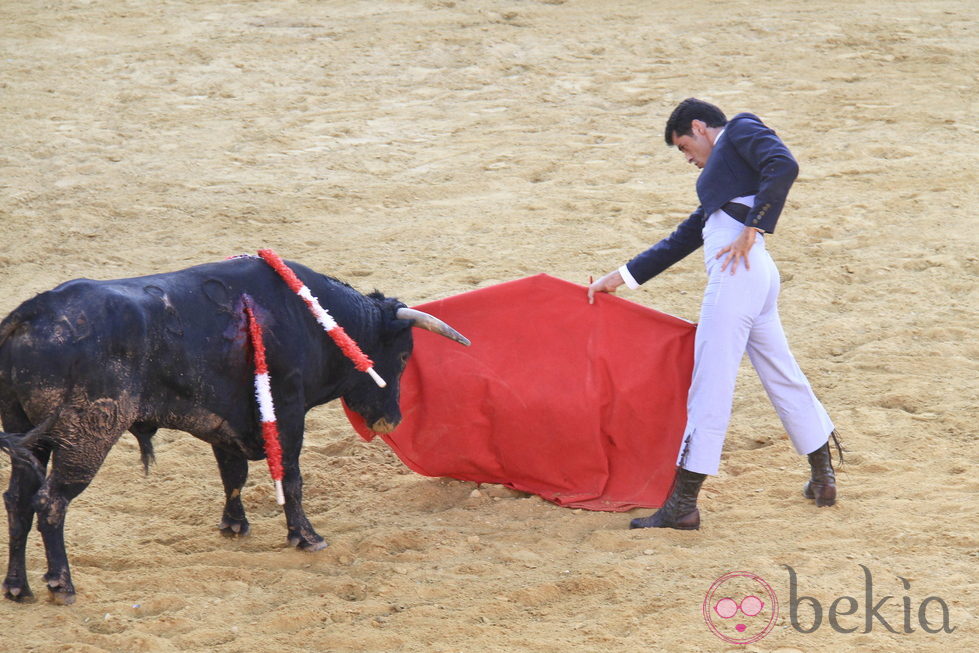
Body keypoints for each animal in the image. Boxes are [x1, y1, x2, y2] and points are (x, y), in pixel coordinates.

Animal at [0, 258, 470, 604]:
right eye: (404, 355)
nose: (393, 419)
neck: (310, 320)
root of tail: (30, 313)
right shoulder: (287, 409)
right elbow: (291, 477)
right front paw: (307, 537)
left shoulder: (221, 421)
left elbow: (233, 475)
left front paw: (234, 526)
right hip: (86, 435)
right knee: (52, 501)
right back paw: (61, 585)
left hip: (26, 432)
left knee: (18, 500)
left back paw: (18, 587)